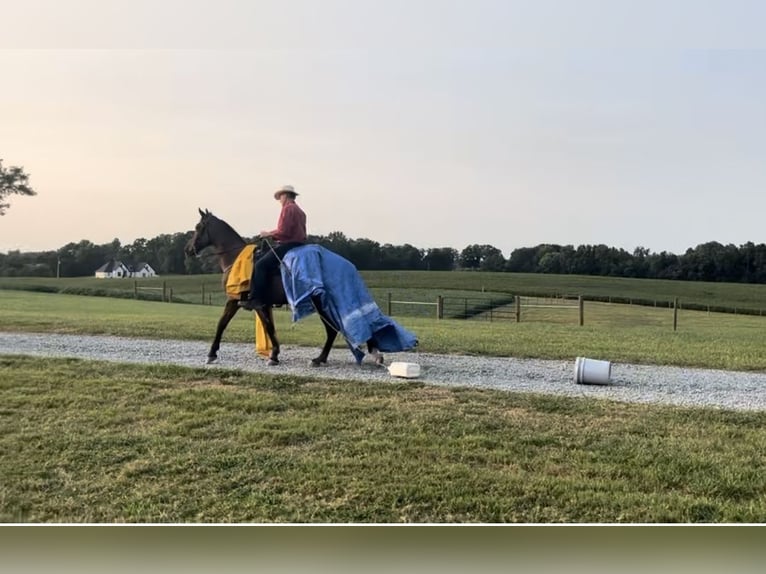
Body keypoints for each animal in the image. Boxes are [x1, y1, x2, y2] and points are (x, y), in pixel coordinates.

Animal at [186, 209, 384, 366]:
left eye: (198, 227)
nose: (187, 250)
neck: (236, 259)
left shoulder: (234, 300)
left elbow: (222, 323)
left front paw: (211, 354)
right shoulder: (260, 304)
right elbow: (268, 327)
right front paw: (274, 354)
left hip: (321, 305)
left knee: (332, 330)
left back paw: (319, 359)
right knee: (334, 330)